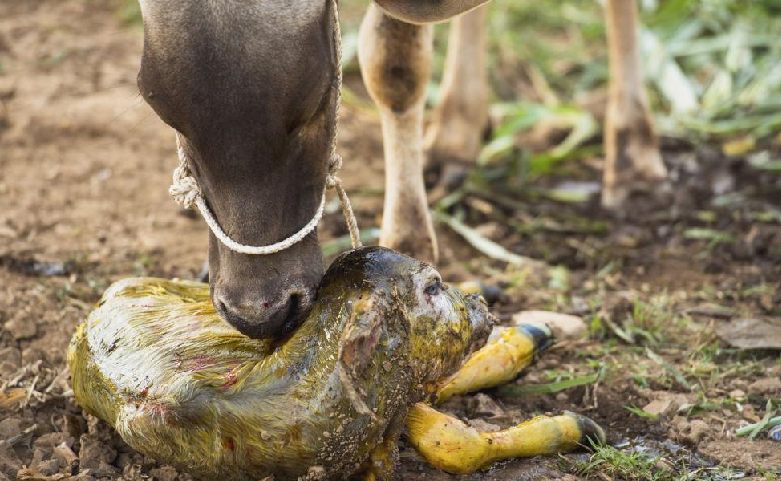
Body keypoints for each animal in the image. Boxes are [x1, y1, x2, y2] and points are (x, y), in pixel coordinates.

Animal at [136, 0, 664, 338]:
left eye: (312, 104)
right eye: (161, 107)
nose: (256, 314)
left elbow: (396, 64)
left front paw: (407, 241)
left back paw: (633, 156)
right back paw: (456, 133)